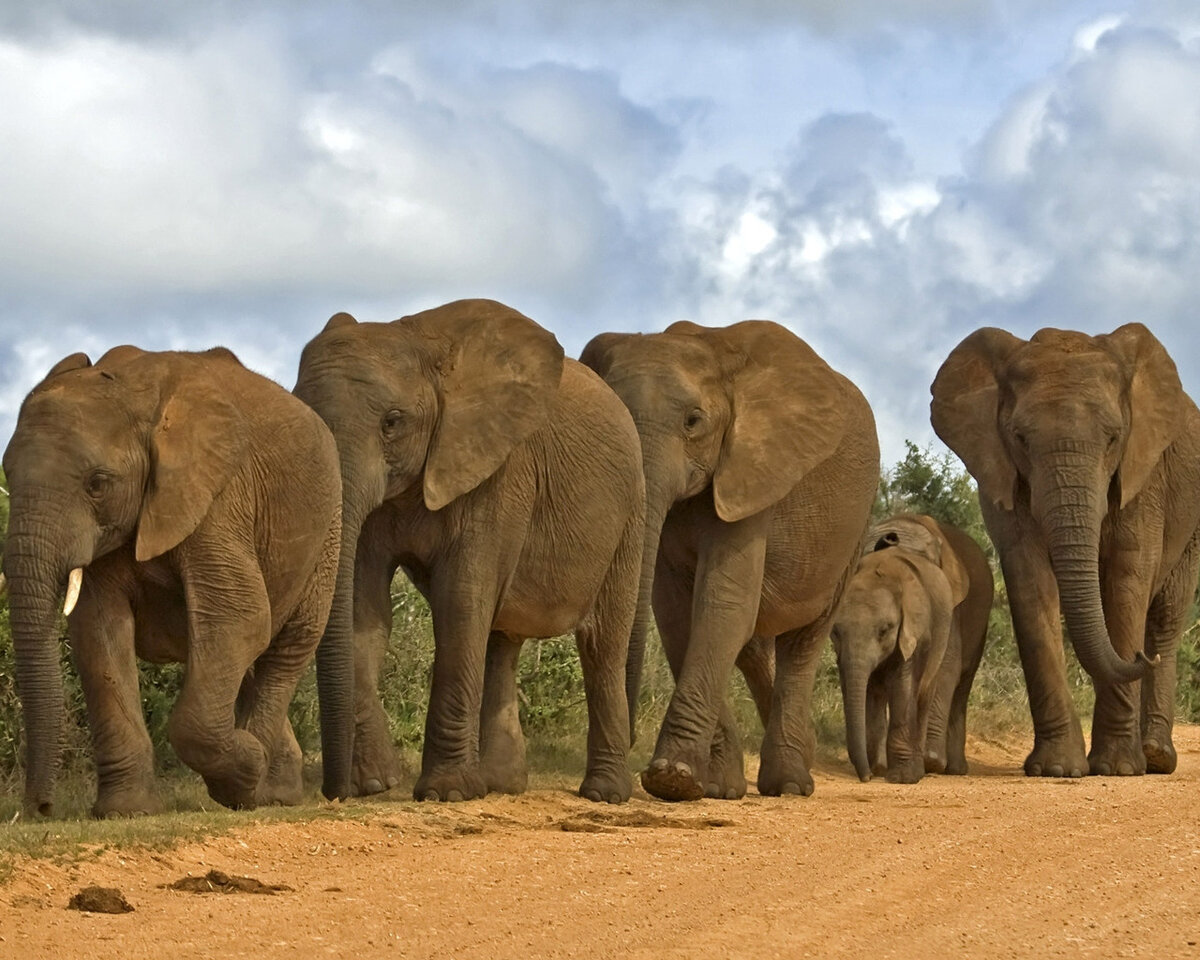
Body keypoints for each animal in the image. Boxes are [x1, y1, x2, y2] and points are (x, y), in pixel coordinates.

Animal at [4, 345, 343, 816]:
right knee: (249, 661)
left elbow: (239, 614)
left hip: (328, 531)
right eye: (7, 476)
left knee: (287, 648)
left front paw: (242, 774)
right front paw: (126, 811)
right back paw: (277, 788)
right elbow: (98, 630)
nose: (40, 809)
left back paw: (260, 785)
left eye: (97, 484)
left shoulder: (219, 496)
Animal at [294, 297, 643, 801]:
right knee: (500, 638)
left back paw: (604, 794)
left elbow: (460, 602)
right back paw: (500, 785)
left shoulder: (500, 473)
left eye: (392, 423)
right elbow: (365, 609)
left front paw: (446, 793)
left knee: (603, 645)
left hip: (630, 514)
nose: (335, 793)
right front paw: (377, 782)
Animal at [583, 319, 883, 796]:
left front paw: (671, 778)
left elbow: (721, 605)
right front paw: (711, 788)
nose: (628, 740)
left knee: (804, 642)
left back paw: (791, 783)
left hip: (853, 531)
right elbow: (678, 616)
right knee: (756, 650)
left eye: (693, 421)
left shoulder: (753, 472)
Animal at [835, 513, 993, 782]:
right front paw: (881, 768)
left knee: (959, 685)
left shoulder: (949, 609)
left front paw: (930, 762)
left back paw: (949, 768)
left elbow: (945, 670)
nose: (865, 777)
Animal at [936, 326, 1200, 777]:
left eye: (1113, 438)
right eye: (1020, 439)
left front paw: (1117, 769)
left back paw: (1154, 756)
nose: (1141, 657)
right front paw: (1057, 769)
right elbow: (1030, 583)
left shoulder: (1143, 477)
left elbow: (1127, 581)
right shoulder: (1001, 473)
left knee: (1166, 614)